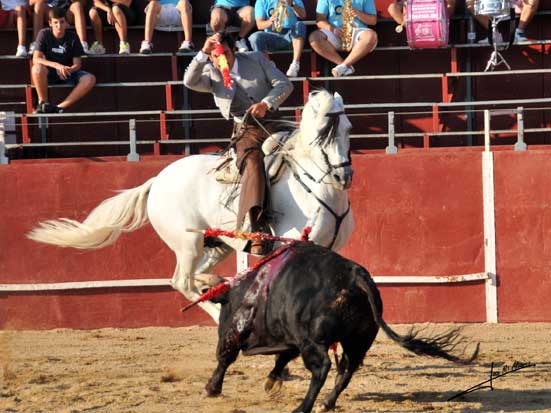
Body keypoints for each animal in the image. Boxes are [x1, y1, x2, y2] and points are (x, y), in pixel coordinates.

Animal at [29, 90, 354, 320]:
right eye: (323, 135)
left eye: (348, 129)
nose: (343, 176)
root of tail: (158, 180)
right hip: (187, 243)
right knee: (181, 281)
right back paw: (218, 309)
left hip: (218, 244)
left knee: (195, 276)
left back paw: (214, 282)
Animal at [205, 241, 480, 412]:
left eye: (224, 314)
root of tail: (355, 276)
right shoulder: (290, 340)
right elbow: (281, 358)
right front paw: (272, 381)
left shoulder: (236, 331)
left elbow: (224, 358)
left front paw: (211, 388)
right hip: (357, 341)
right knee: (346, 369)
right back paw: (326, 403)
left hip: (314, 341)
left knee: (323, 368)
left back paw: (303, 407)